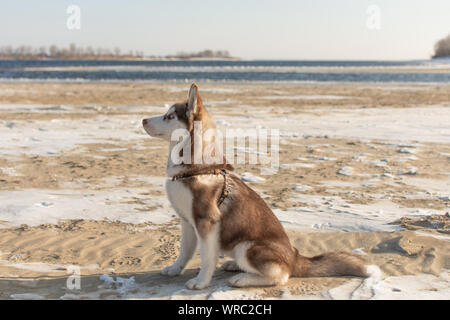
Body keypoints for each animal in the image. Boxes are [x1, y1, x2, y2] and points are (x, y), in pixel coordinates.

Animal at [142, 84, 372, 288]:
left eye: (170, 116)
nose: (143, 120)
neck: (196, 169)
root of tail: (295, 256)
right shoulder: (187, 222)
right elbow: (185, 251)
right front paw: (175, 269)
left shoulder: (207, 223)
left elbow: (207, 257)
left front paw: (200, 282)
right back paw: (234, 266)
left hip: (247, 246)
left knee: (280, 275)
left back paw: (243, 279)